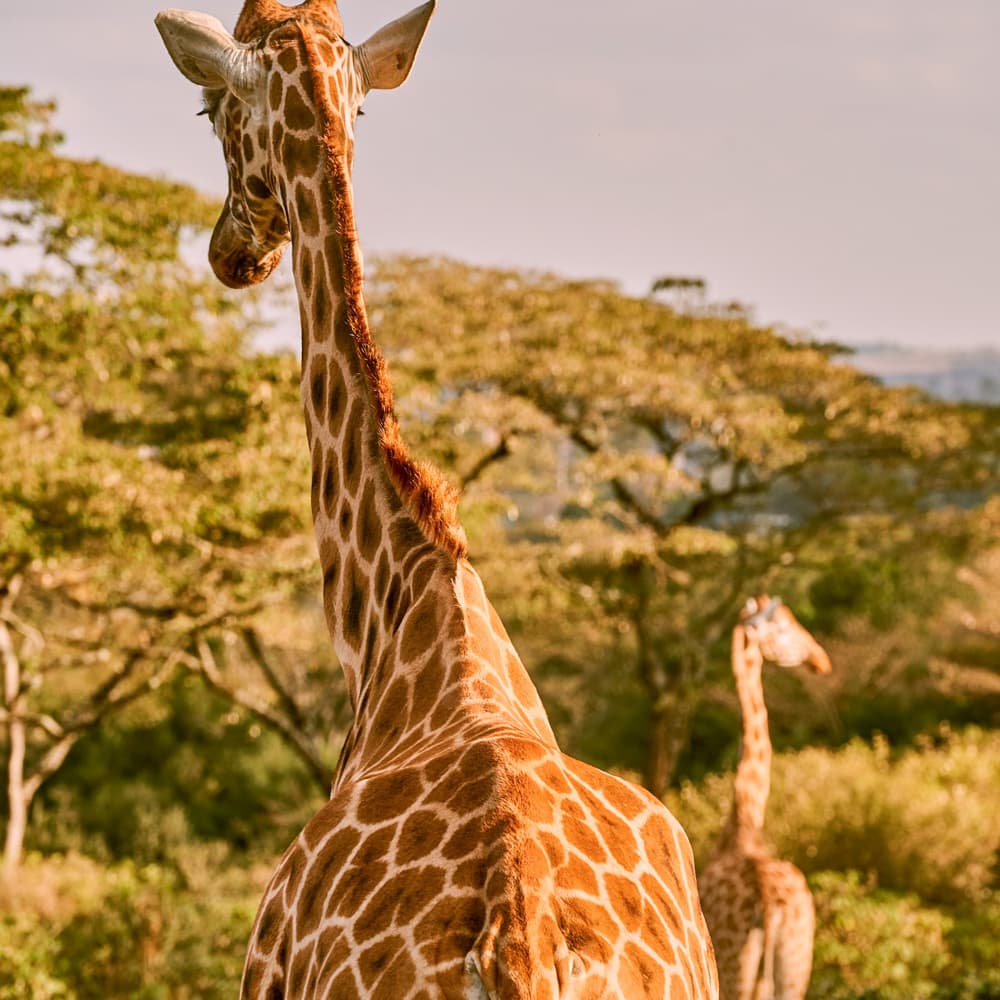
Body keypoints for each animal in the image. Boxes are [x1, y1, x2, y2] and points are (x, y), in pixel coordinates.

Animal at [697, 596, 831, 1000]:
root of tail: (771, 909)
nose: (820, 659)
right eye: (784, 626)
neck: (744, 822)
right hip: (793, 964)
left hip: (737, 964)